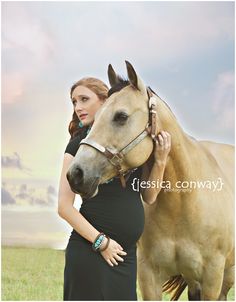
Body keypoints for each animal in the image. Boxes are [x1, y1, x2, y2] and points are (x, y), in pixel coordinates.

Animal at [66, 61, 234, 300]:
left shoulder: (212, 278)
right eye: (94, 119)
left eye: (121, 116)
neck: (182, 204)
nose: (76, 174)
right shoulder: (149, 276)